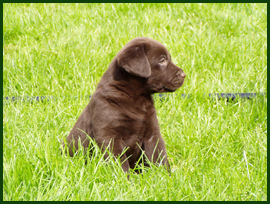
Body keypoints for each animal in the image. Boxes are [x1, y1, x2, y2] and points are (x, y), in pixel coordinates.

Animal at [63, 36, 186, 174]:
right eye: (162, 60)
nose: (184, 75)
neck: (135, 98)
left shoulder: (152, 134)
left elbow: (159, 156)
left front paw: (164, 176)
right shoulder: (110, 136)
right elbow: (120, 162)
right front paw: (124, 179)